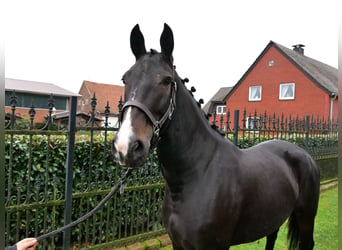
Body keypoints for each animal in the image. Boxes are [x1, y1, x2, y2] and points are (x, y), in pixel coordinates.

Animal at [112, 23, 320, 250]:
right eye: (125, 78)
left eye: (167, 81)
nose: (126, 147)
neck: (194, 175)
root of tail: (304, 155)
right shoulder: (177, 243)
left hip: (306, 216)